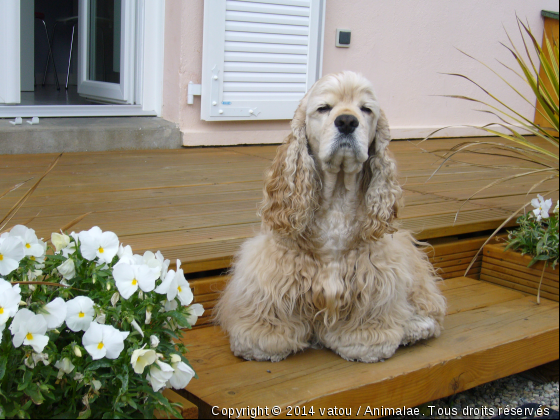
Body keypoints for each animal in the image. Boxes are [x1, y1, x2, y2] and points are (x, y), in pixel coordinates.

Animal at [215, 70, 446, 362]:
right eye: (324, 108)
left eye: (366, 109)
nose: (347, 121)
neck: (337, 197)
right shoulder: (275, 265)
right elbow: (269, 310)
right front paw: (263, 340)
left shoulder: (375, 268)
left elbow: (370, 311)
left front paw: (364, 340)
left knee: (430, 306)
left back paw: (416, 326)